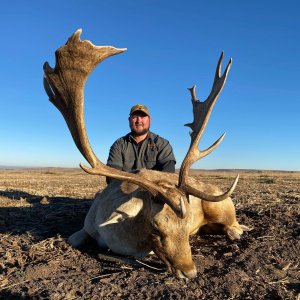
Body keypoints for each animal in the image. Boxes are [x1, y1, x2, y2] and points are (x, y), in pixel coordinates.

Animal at [44, 29, 251, 280]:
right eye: (156, 227)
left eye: (187, 225)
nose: (190, 272)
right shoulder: (87, 226)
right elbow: (72, 239)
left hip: (221, 206)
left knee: (235, 226)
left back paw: (235, 232)